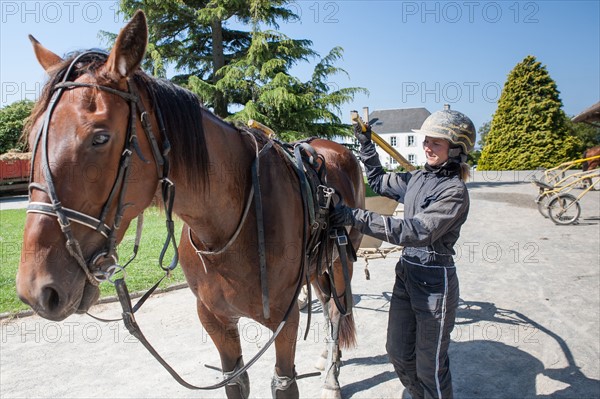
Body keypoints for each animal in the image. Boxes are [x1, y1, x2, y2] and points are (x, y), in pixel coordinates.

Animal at [17, 10, 366, 399]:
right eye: (34, 137)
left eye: (100, 137)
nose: (36, 289)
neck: (230, 225)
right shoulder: (214, 319)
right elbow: (236, 380)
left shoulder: (285, 320)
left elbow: (283, 382)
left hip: (341, 262)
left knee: (336, 310)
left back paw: (332, 375)